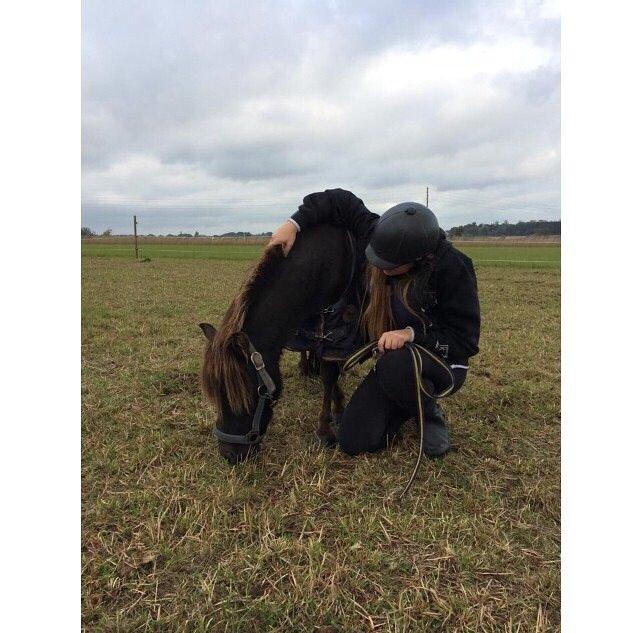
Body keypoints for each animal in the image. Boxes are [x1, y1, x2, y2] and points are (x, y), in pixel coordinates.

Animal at [199, 225, 350, 462]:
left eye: (245, 394)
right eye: (215, 394)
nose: (228, 454)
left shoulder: (332, 329)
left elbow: (329, 374)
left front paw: (326, 430)